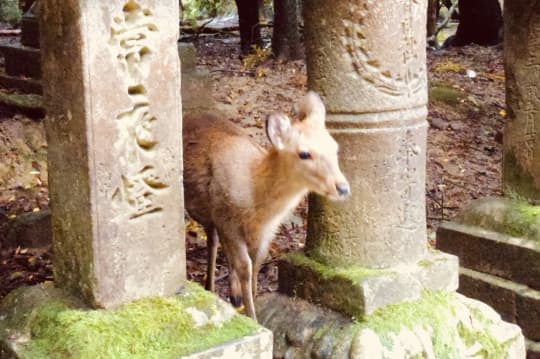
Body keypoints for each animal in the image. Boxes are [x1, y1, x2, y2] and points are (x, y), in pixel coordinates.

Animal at [181, 92, 350, 320]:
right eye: (304, 154)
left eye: (335, 148)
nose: (342, 187)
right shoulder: (227, 220)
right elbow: (245, 266)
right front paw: (252, 316)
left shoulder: (268, 230)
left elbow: (258, 261)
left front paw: (252, 301)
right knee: (213, 241)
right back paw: (211, 287)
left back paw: (233, 295)